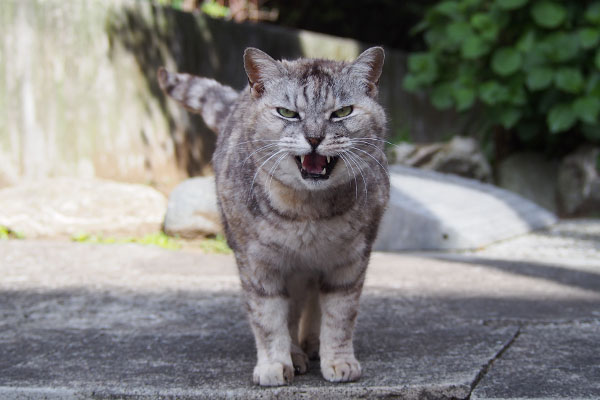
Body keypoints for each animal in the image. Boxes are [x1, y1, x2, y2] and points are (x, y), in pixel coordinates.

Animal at [157, 45, 390, 386]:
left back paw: (312, 344)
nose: (315, 137)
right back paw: (297, 354)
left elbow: (340, 316)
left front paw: (339, 361)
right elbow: (269, 319)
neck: (309, 212)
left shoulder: (350, 261)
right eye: (288, 113)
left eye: (343, 112)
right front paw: (275, 365)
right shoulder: (258, 264)